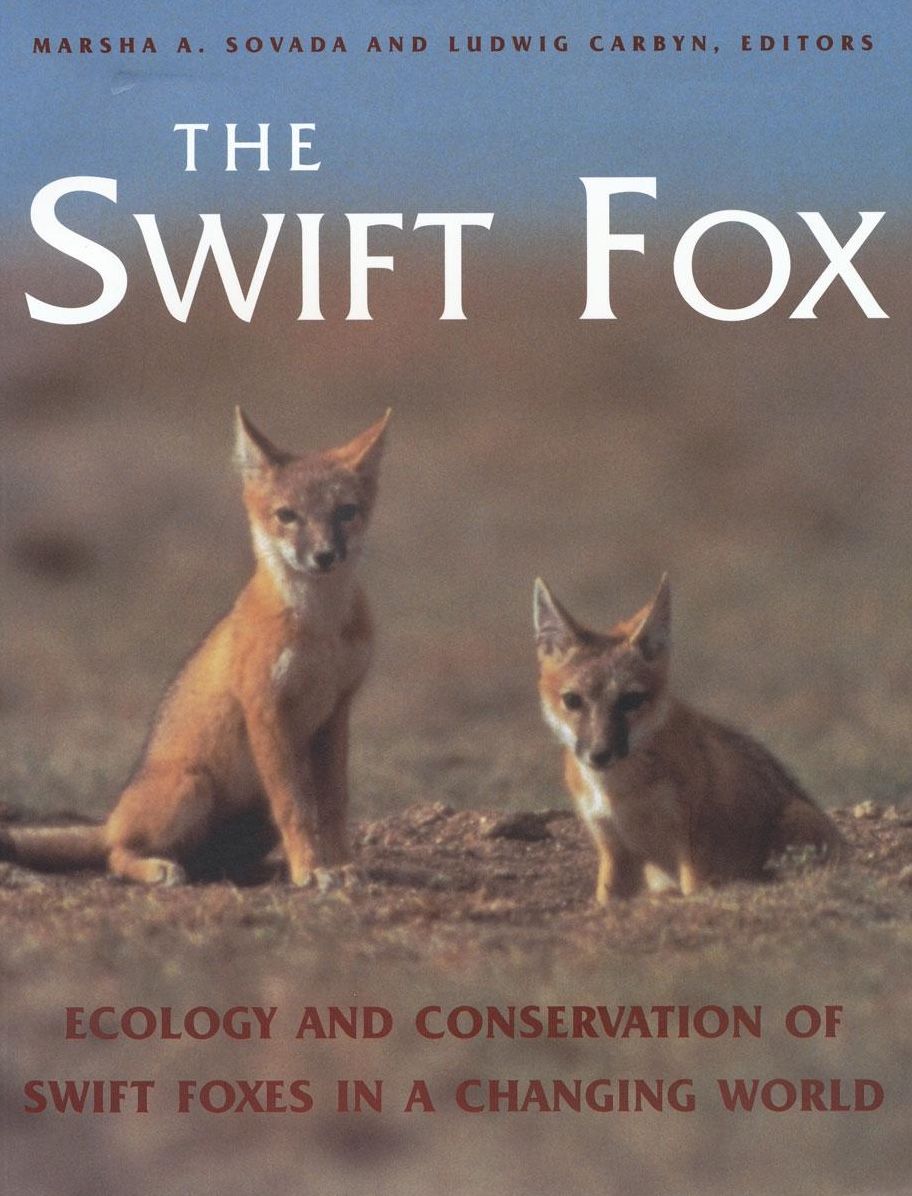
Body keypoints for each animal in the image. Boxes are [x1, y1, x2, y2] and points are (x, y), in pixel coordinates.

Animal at [1, 407, 390, 888]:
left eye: (345, 512)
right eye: (287, 515)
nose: (323, 555)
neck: (319, 628)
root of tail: (110, 817)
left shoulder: (336, 712)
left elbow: (333, 806)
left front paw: (338, 864)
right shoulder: (266, 710)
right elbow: (295, 808)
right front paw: (310, 870)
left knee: (209, 860)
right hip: (193, 788)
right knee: (115, 854)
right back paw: (159, 868)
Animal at [533, 574, 843, 903]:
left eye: (631, 700)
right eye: (572, 701)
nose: (599, 753)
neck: (621, 794)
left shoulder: (692, 849)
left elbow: (694, 892)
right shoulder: (613, 848)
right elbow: (604, 902)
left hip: (796, 818)